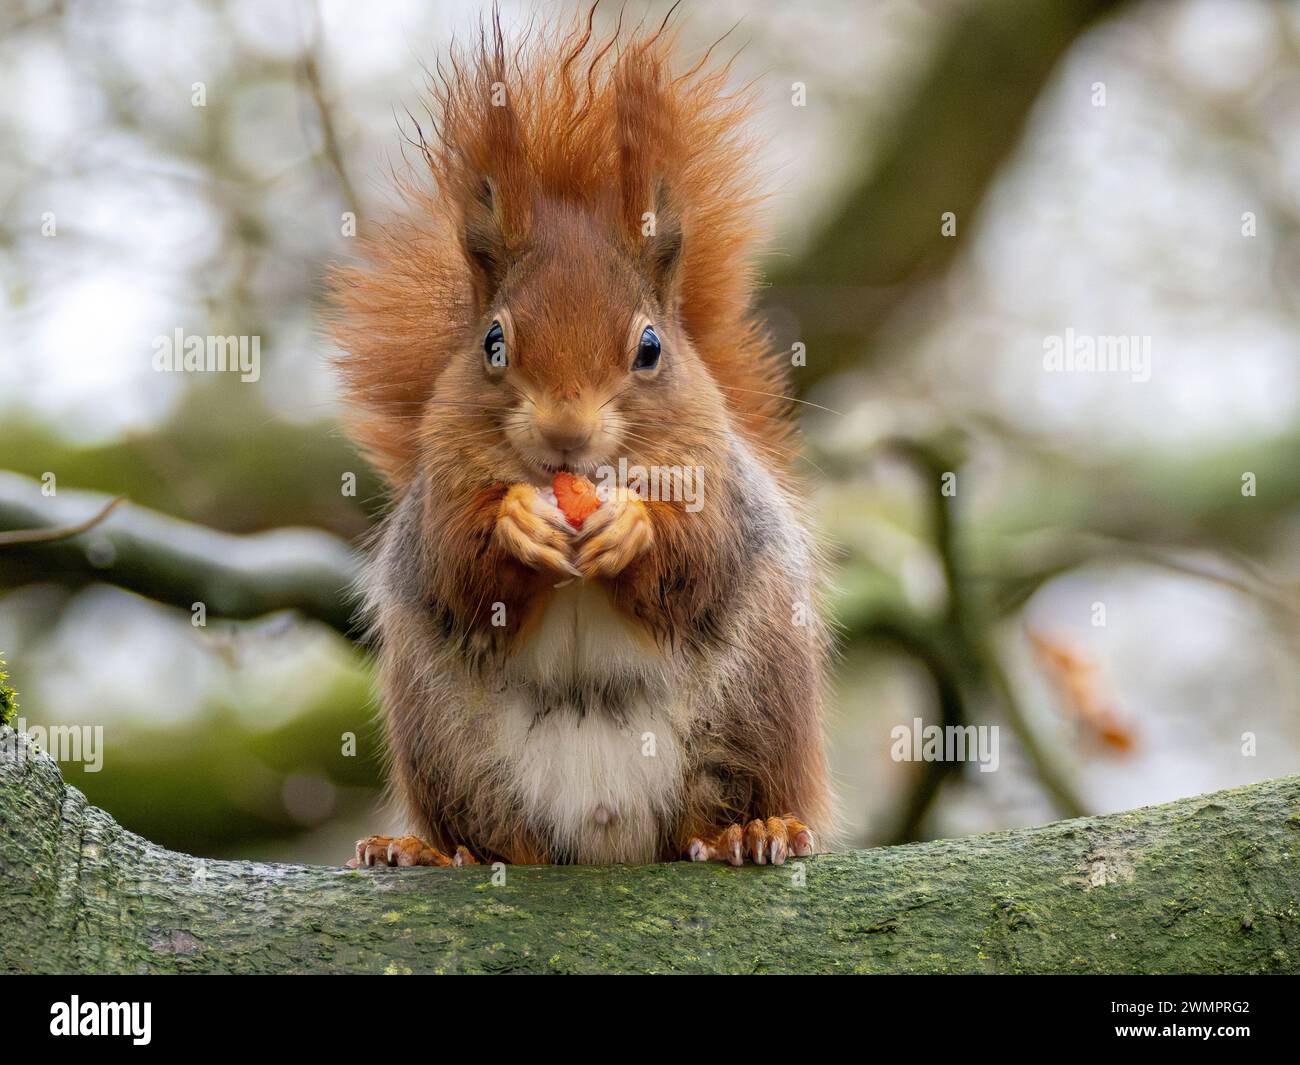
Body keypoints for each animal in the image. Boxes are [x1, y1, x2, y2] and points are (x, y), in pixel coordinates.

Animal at [329, 6, 833, 867]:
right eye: (493, 342)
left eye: (651, 347)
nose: (565, 432)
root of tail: (608, 840)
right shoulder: (439, 496)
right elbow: (457, 566)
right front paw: (516, 522)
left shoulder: (720, 486)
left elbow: (700, 554)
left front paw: (631, 527)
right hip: (443, 743)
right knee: (497, 838)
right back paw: (435, 851)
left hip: (757, 704)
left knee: (724, 805)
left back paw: (751, 830)